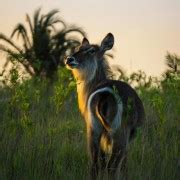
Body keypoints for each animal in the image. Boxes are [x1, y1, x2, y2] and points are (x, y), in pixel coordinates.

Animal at [64, 33, 145, 179]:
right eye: (79, 48)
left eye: (91, 50)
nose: (69, 59)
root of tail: (104, 94)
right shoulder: (129, 136)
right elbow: (124, 166)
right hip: (119, 133)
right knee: (112, 166)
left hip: (93, 129)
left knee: (96, 165)